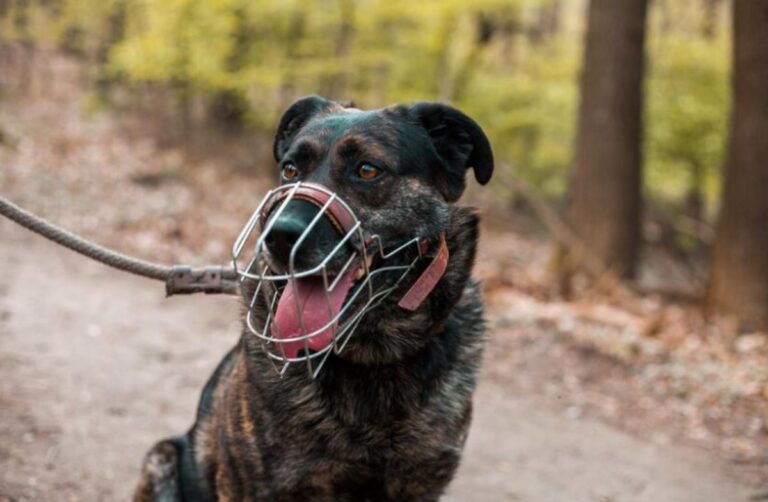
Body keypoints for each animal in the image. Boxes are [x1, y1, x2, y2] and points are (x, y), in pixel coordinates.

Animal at [135, 96, 496, 500]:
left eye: (367, 170)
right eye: (290, 169)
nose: (277, 237)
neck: (373, 358)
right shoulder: (252, 486)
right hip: (161, 457)